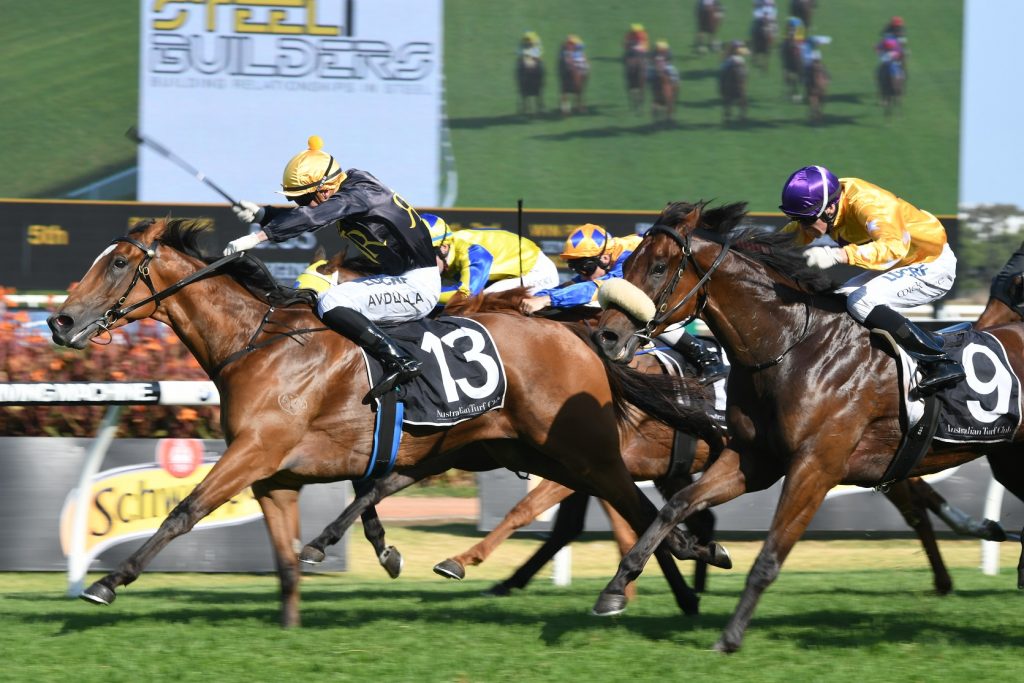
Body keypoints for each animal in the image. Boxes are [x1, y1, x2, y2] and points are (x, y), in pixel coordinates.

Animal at [47, 218, 728, 627]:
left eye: (117, 265)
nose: (60, 321)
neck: (258, 343)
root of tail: (581, 338)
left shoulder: (256, 452)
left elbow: (184, 511)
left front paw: (107, 582)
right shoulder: (274, 475)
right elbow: (287, 554)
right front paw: (293, 617)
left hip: (577, 447)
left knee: (624, 503)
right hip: (515, 447)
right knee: (619, 507)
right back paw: (688, 567)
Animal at [591, 201, 1024, 652]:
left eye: (659, 267)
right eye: (627, 265)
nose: (606, 336)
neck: (793, 347)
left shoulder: (815, 467)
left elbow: (769, 556)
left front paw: (730, 636)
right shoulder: (754, 459)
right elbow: (675, 507)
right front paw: (616, 587)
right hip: (1009, 460)